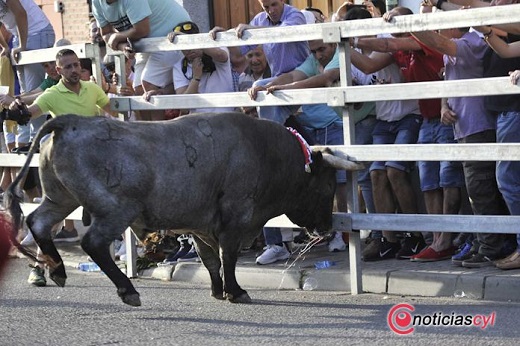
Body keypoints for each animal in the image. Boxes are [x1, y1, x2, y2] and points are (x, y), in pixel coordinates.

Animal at [3, 113, 362, 306]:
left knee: (39, 222)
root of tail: (69, 121)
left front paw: (219, 291)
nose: (326, 226)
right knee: (93, 243)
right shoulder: (234, 220)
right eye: (327, 186)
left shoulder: (201, 225)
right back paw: (127, 290)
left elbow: (211, 260)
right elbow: (227, 258)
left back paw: (58, 270)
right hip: (115, 210)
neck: (267, 153)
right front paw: (236, 291)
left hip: (61, 198)